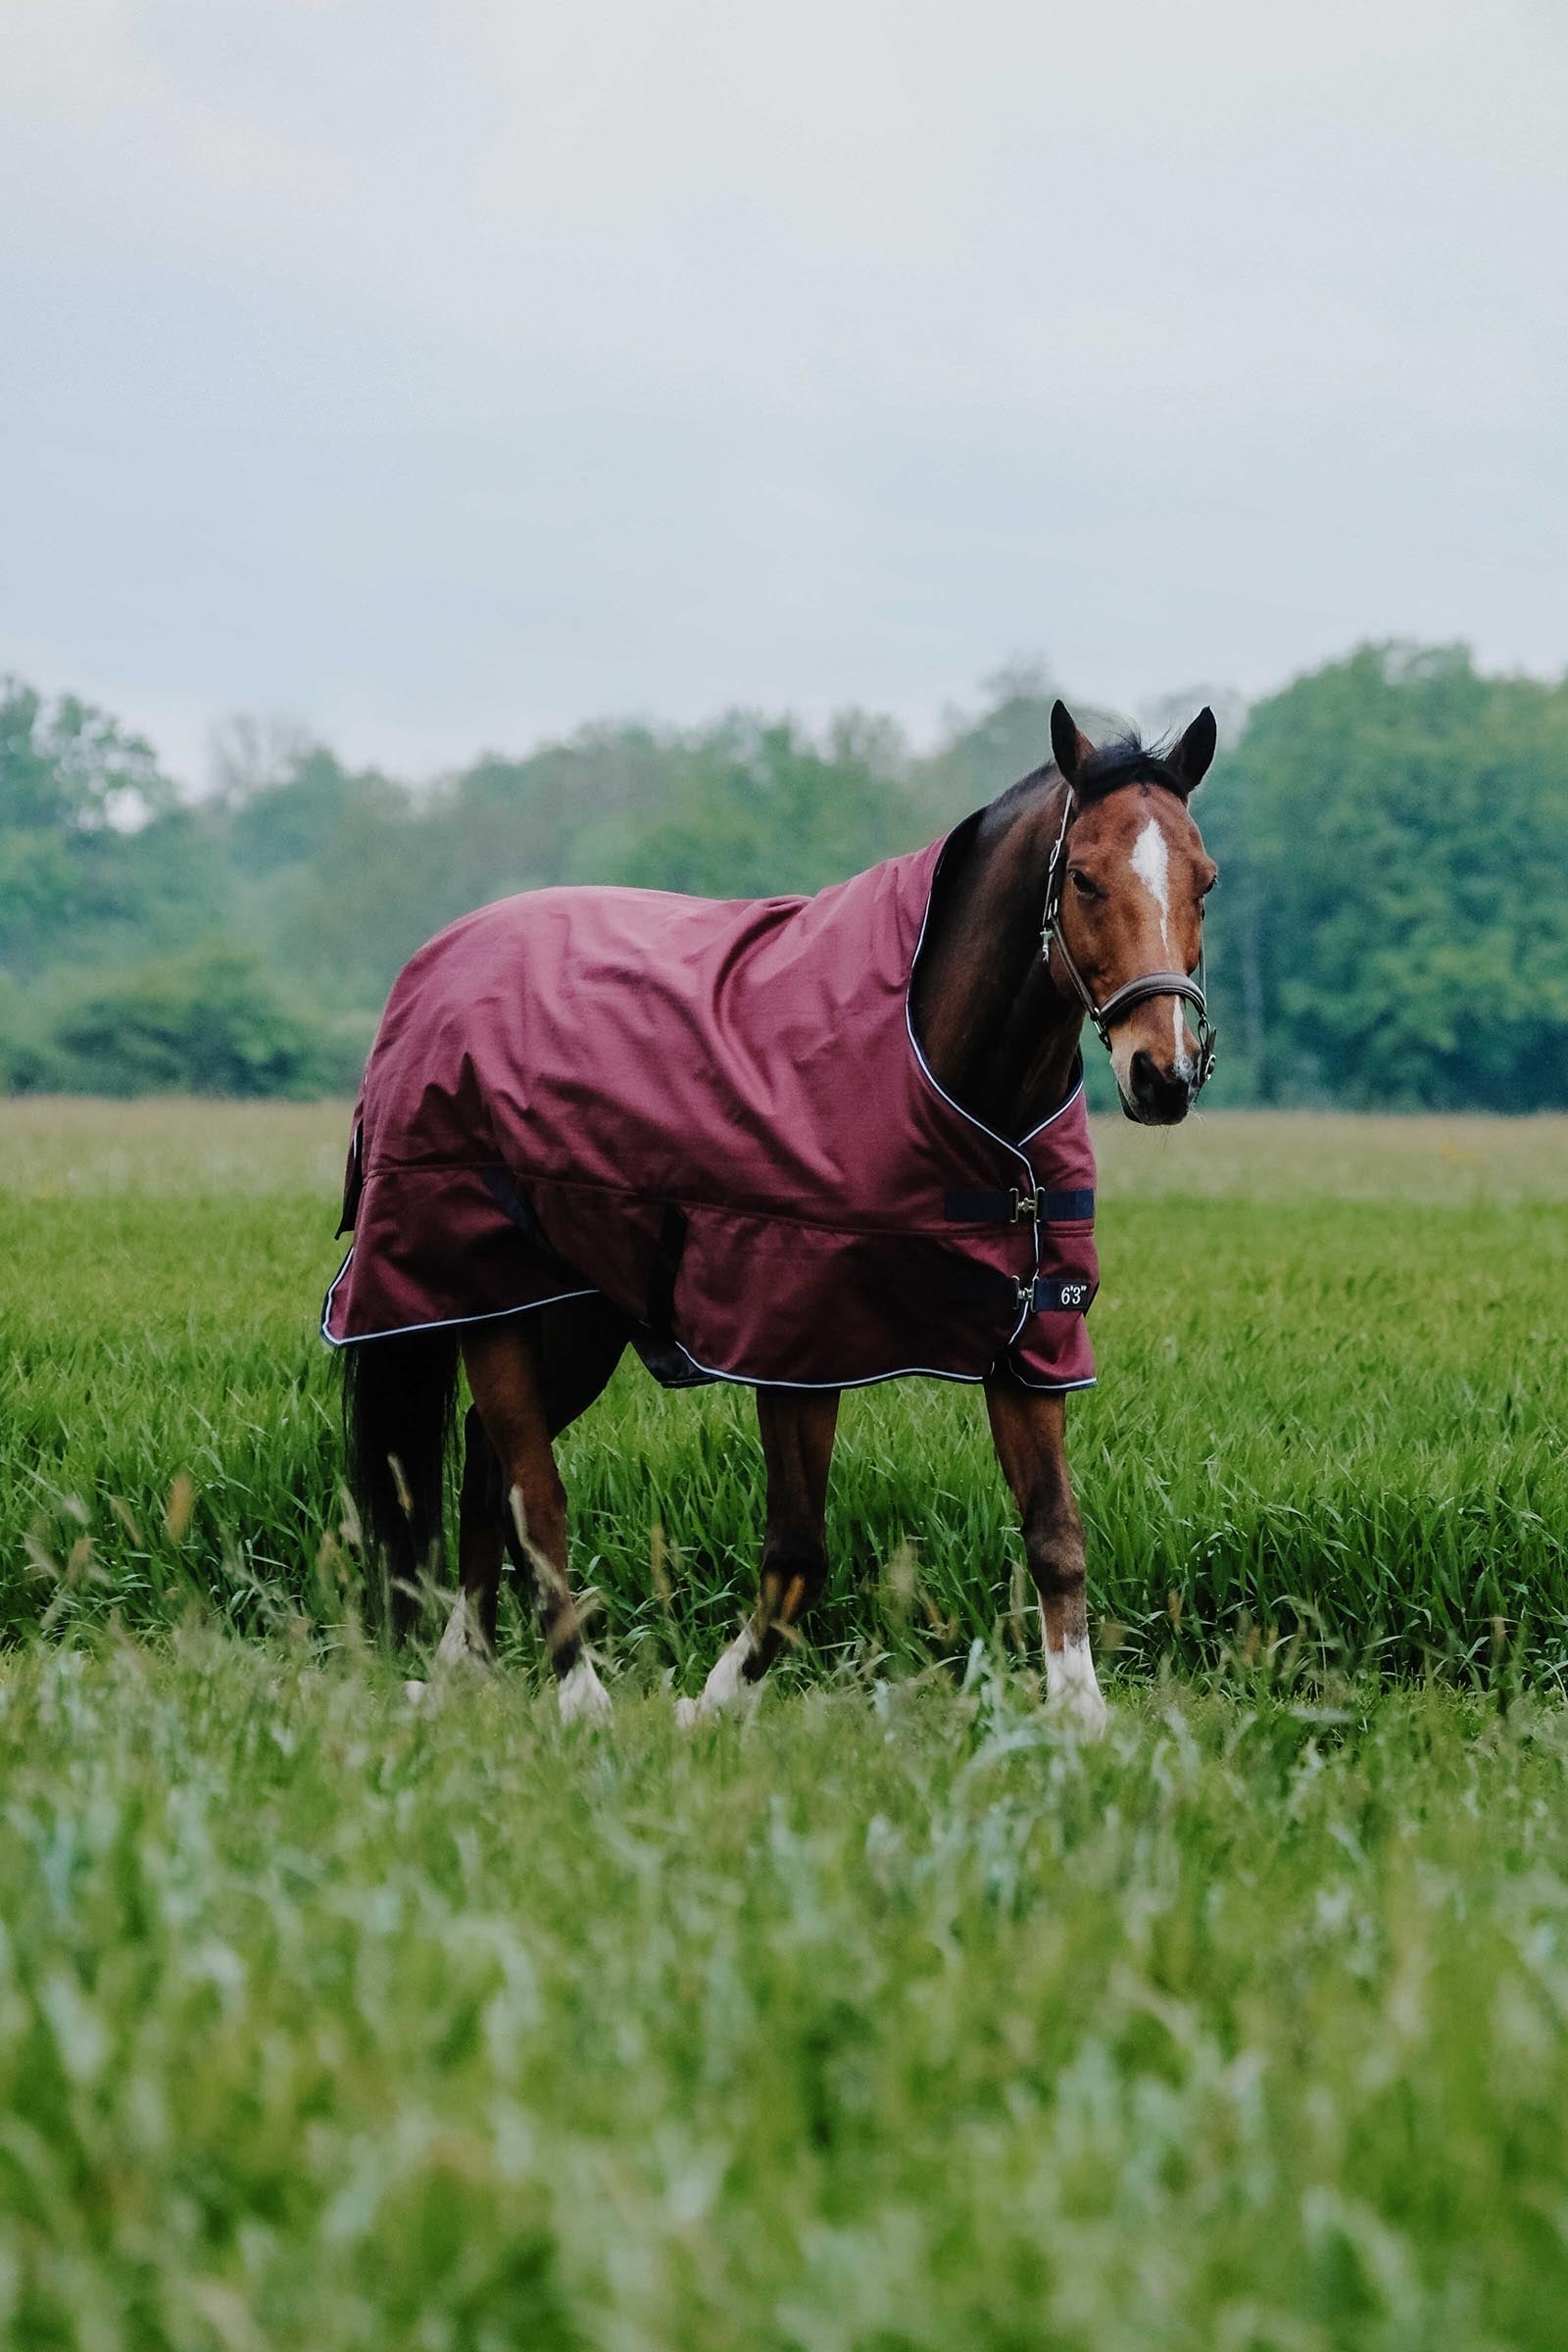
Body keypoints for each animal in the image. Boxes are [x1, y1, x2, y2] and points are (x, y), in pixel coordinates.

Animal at [330, 700, 1218, 1735]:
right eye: (1082, 876)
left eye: (1205, 880)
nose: (1163, 1074)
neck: (944, 1077)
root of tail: (433, 965)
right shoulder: (797, 1347)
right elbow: (797, 1555)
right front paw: (710, 1704)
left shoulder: (1030, 1340)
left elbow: (1056, 1534)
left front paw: (1082, 1718)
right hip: (486, 1295)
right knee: (529, 1492)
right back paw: (580, 1696)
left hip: (575, 1315)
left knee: (482, 1466)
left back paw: (458, 1671)